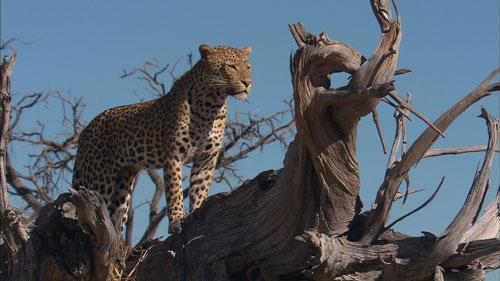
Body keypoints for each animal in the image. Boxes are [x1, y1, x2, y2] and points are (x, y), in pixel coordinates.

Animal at [72, 44, 252, 232]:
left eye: (248, 68)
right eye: (231, 66)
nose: (247, 83)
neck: (212, 105)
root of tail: (85, 131)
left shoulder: (206, 159)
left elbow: (199, 190)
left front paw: (197, 211)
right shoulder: (173, 155)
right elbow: (175, 190)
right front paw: (177, 220)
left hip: (122, 185)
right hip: (98, 182)